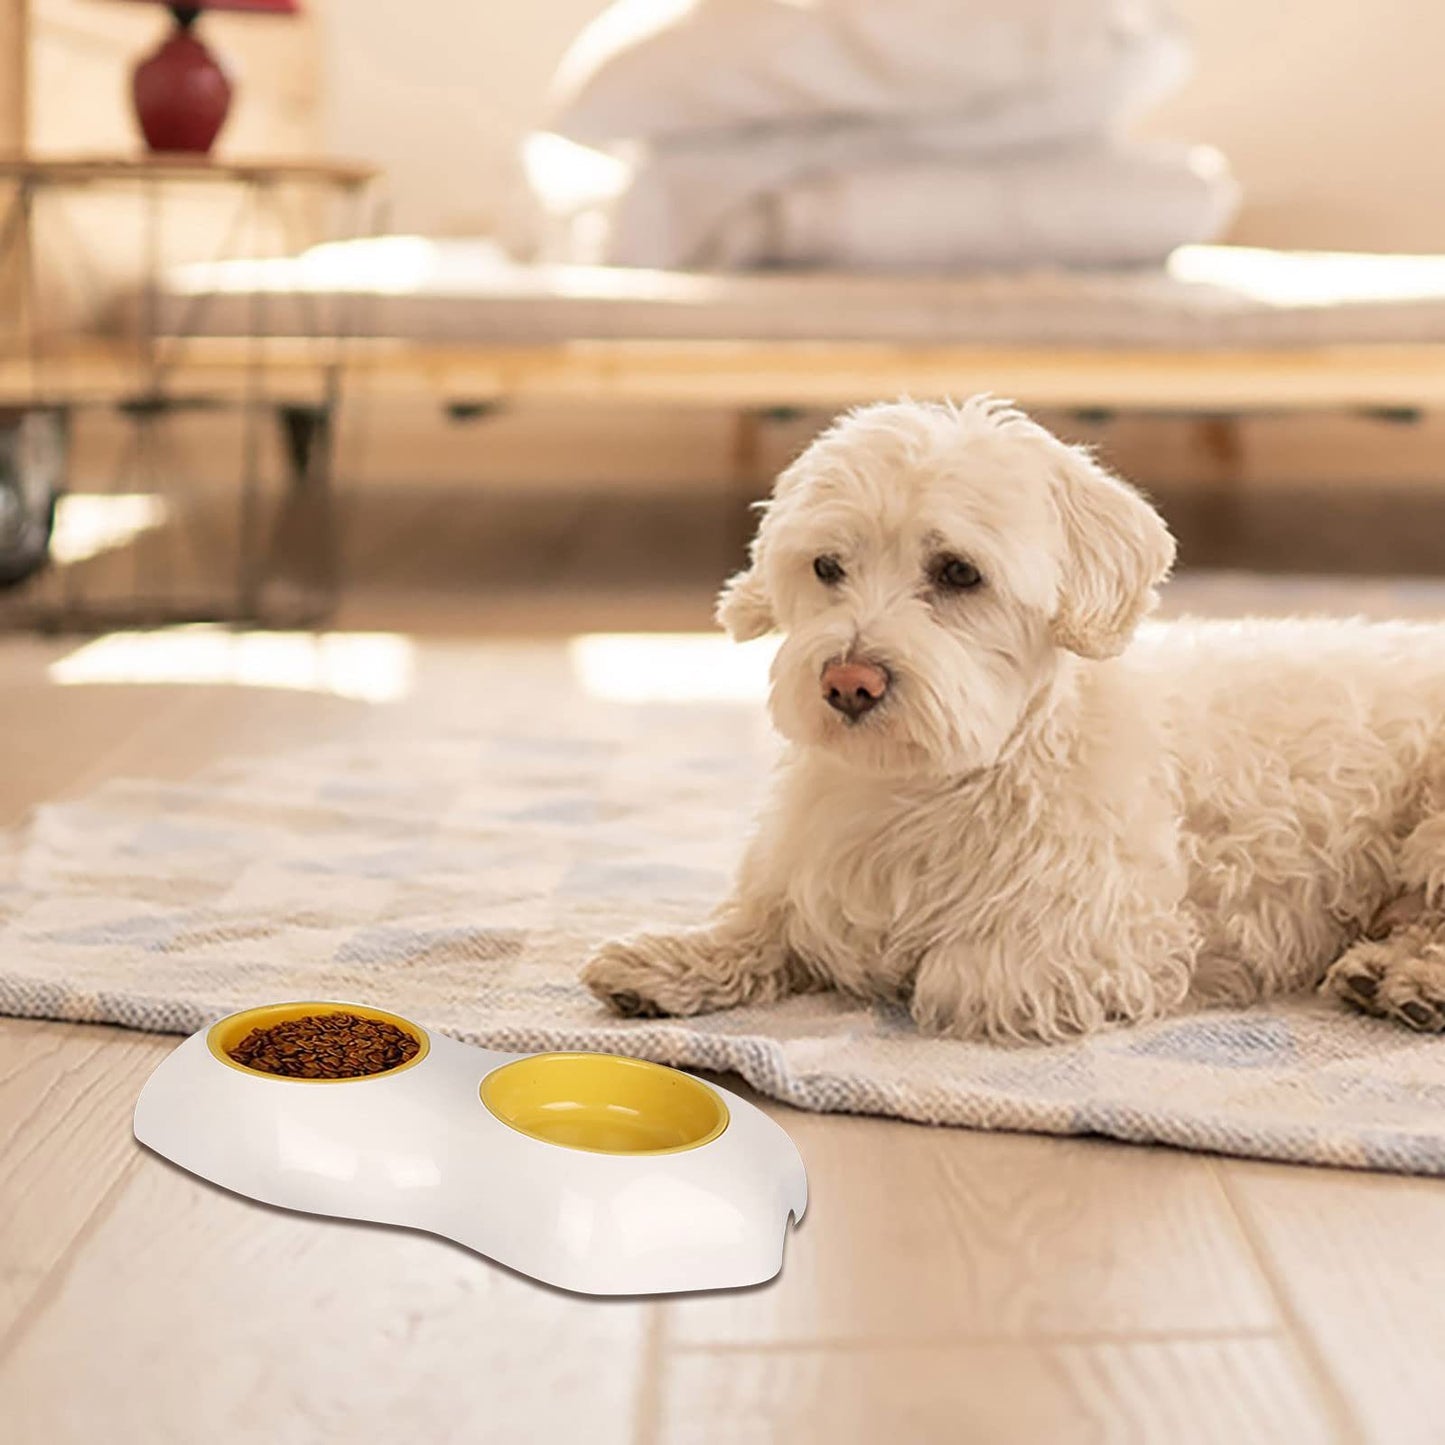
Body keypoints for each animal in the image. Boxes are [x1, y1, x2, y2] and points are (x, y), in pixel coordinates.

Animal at [578, 398, 1445, 1040]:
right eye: (825, 566)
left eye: (958, 572)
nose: (848, 681)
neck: (928, 786)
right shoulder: (807, 866)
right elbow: (764, 919)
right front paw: (670, 958)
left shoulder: (1104, 934)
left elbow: (952, 974)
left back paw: (1412, 982)